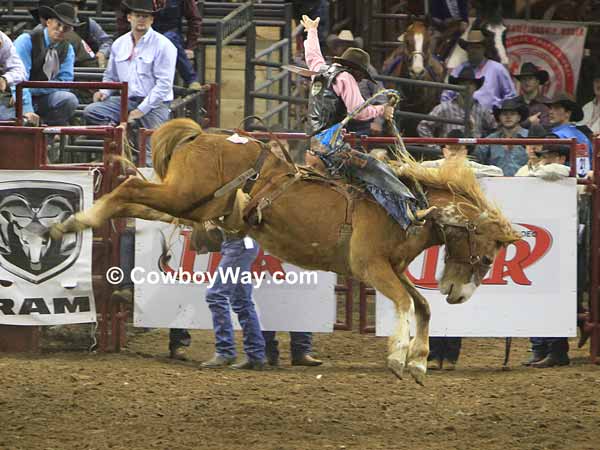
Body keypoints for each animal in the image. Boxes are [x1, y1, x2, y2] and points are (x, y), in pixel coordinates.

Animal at [51, 118, 520, 384]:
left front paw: (420, 362)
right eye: (485, 257)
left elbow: (421, 305)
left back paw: (81, 224)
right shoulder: (369, 265)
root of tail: (203, 135)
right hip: (183, 193)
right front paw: (397, 357)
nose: (459, 294)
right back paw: (70, 222)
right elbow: (407, 305)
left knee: (134, 201)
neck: (408, 205)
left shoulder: (392, 267)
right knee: (129, 187)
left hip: (190, 203)